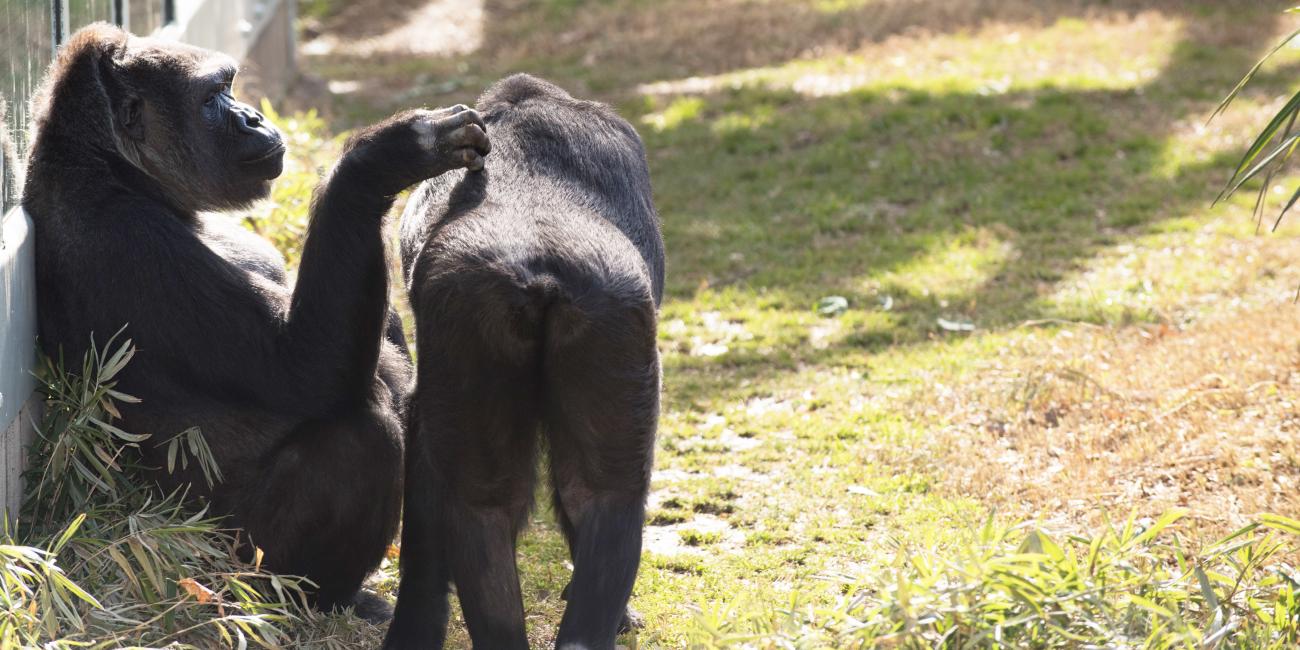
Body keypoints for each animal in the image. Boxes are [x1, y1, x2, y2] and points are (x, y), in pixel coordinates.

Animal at [22, 24, 488, 613]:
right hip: (228, 567)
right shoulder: (128, 241)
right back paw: (325, 597)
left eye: (229, 86)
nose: (251, 117)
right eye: (210, 99)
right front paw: (383, 157)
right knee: (360, 434)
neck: (109, 166)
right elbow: (307, 369)